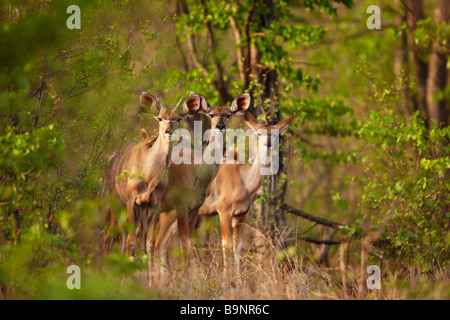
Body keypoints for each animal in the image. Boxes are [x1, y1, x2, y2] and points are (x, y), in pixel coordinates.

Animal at [102, 91, 202, 256]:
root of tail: (110, 160)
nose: (168, 131)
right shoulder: (132, 202)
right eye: (160, 118)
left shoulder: (154, 205)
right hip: (116, 202)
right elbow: (131, 242)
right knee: (109, 234)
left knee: (124, 237)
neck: (149, 177)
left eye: (178, 118)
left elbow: (149, 244)